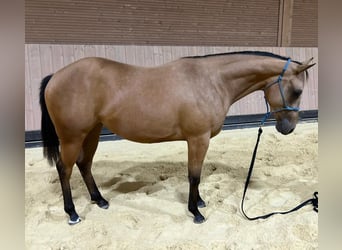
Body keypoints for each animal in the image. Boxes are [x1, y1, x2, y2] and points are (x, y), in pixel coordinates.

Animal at [39, 50, 316, 225]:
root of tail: (55, 76)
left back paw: (99, 200)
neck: (211, 81)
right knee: (65, 169)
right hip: (72, 137)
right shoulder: (198, 139)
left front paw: (200, 202)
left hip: (92, 132)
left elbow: (197, 174)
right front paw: (195, 212)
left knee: (84, 165)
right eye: (297, 90)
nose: (288, 128)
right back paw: (72, 213)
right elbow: (194, 175)